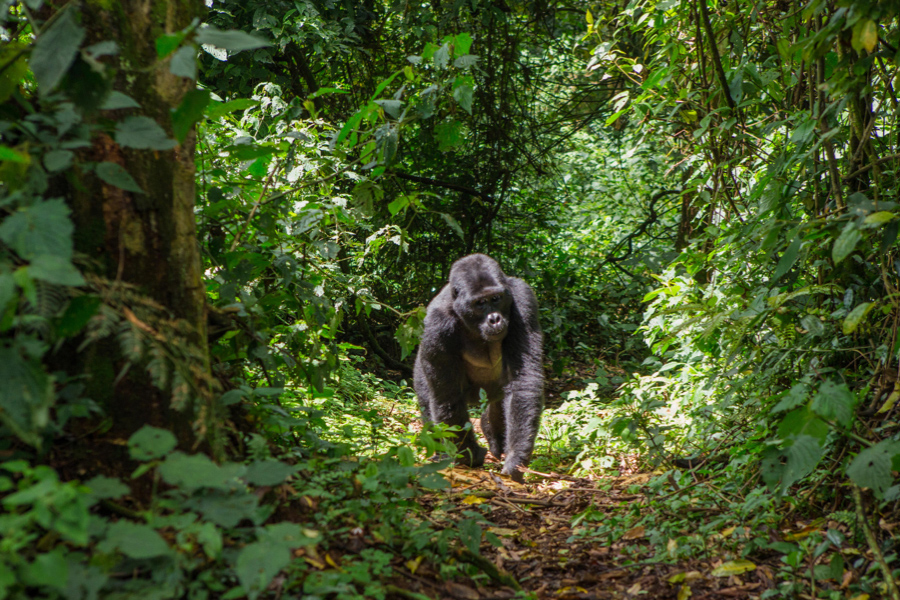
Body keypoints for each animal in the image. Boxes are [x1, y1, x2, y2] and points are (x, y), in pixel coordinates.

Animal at [414, 253, 544, 482]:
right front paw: (469, 456)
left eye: (496, 299)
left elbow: (523, 380)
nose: (495, 319)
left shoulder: (523, 298)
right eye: (480, 303)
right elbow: (448, 396)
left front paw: (516, 457)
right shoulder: (436, 324)